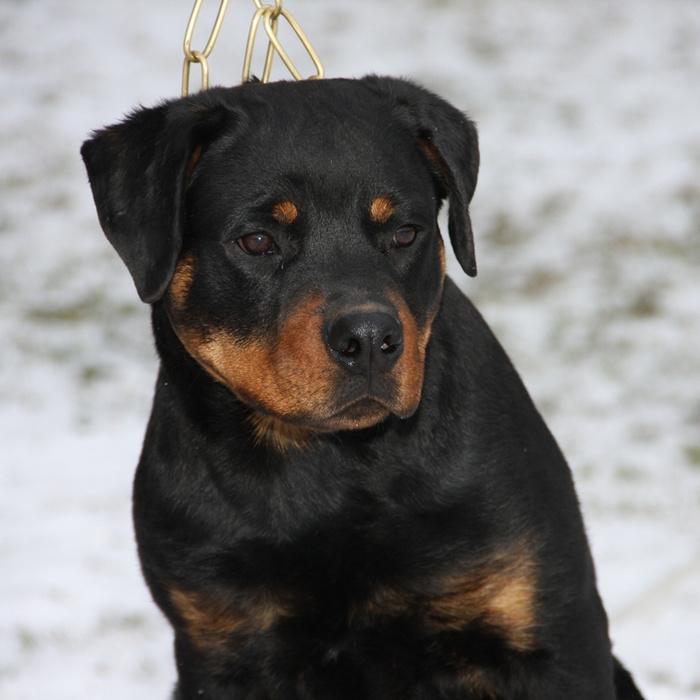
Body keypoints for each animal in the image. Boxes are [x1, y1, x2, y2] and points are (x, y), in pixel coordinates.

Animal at [82, 76, 644, 700]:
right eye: (257, 241)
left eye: (405, 233)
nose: (370, 337)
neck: (331, 467)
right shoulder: (223, 645)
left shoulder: (549, 635)